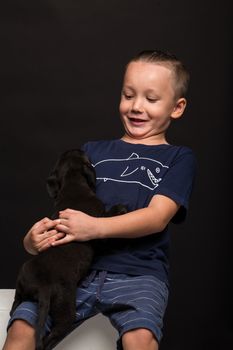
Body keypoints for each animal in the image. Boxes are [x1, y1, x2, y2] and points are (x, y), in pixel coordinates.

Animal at [10, 149, 127, 348]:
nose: (78, 148)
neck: (73, 186)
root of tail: (44, 286)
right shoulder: (98, 227)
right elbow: (106, 218)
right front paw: (120, 207)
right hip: (65, 310)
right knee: (51, 336)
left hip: (23, 276)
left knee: (17, 300)